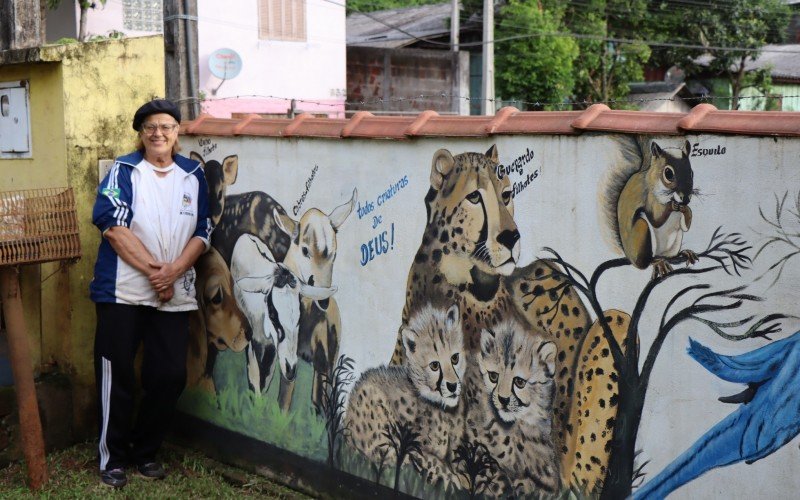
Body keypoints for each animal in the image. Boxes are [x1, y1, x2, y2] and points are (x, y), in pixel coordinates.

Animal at [604, 138, 696, 278]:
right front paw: (671, 206)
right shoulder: (649, 198)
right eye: (668, 173)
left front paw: (686, 209)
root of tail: (629, 255)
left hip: (674, 243)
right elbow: (656, 220)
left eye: (691, 173)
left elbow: (686, 224)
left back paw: (683, 253)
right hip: (642, 231)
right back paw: (657, 262)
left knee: (669, 255)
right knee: (645, 262)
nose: (685, 198)